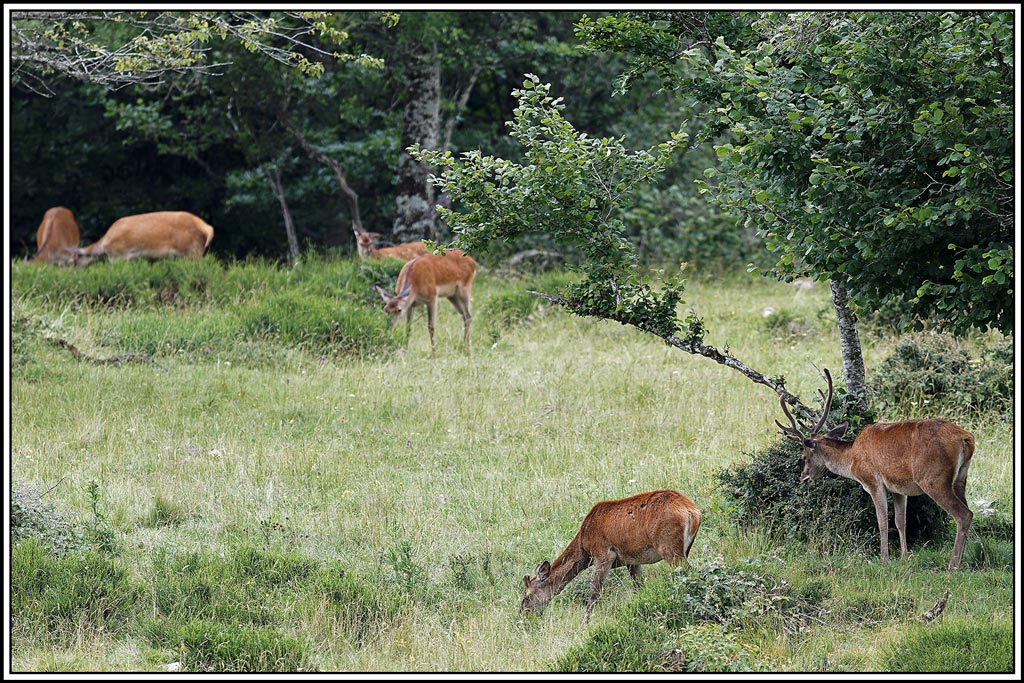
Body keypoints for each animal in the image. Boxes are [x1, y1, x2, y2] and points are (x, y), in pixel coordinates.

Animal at [520, 490, 702, 620]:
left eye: (527, 594)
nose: (522, 614)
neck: (584, 547)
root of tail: (693, 512)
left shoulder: (604, 555)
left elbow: (594, 593)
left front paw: (585, 622)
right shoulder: (632, 559)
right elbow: (639, 586)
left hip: (669, 547)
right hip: (685, 548)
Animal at [775, 368, 975, 570]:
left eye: (804, 456)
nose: (803, 477)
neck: (852, 459)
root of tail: (966, 438)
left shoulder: (873, 481)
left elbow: (882, 522)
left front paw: (884, 559)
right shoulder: (898, 487)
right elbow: (900, 521)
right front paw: (904, 556)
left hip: (934, 478)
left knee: (964, 514)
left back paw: (953, 564)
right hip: (961, 477)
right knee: (967, 510)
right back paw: (962, 558)